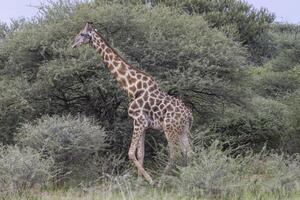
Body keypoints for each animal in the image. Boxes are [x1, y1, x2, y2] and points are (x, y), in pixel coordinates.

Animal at [72, 22, 192, 186]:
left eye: (82, 34)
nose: (73, 44)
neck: (131, 87)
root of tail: (189, 115)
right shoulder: (144, 124)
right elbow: (140, 153)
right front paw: (139, 183)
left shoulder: (139, 121)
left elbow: (130, 153)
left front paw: (149, 180)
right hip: (183, 130)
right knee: (189, 152)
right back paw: (190, 175)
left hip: (170, 129)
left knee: (175, 153)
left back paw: (161, 180)